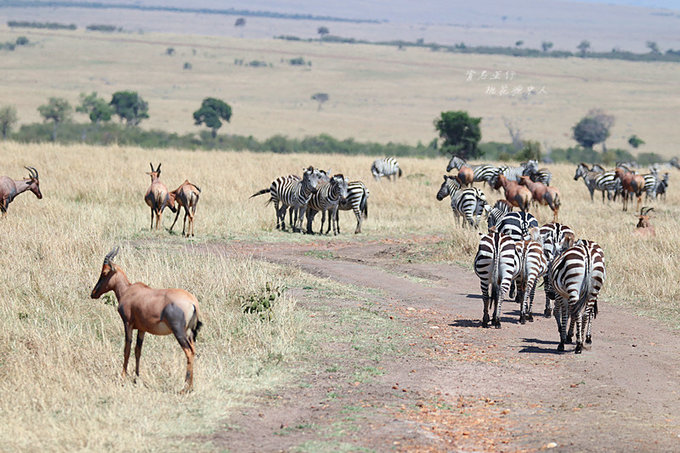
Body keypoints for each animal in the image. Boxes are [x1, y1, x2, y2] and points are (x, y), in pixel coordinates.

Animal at [93, 247, 205, 392]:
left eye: (104, 272)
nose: (93, 293)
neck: (129, 290)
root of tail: (193, 302)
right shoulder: (142, 329)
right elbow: (138, 350)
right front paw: (136, 377)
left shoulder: (127, 324)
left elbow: (126, 349)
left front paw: (123, 377)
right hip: (189, 333)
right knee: (193, 350)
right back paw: (190, 387)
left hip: (179, 332)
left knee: (189, 352)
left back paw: (184, 388)